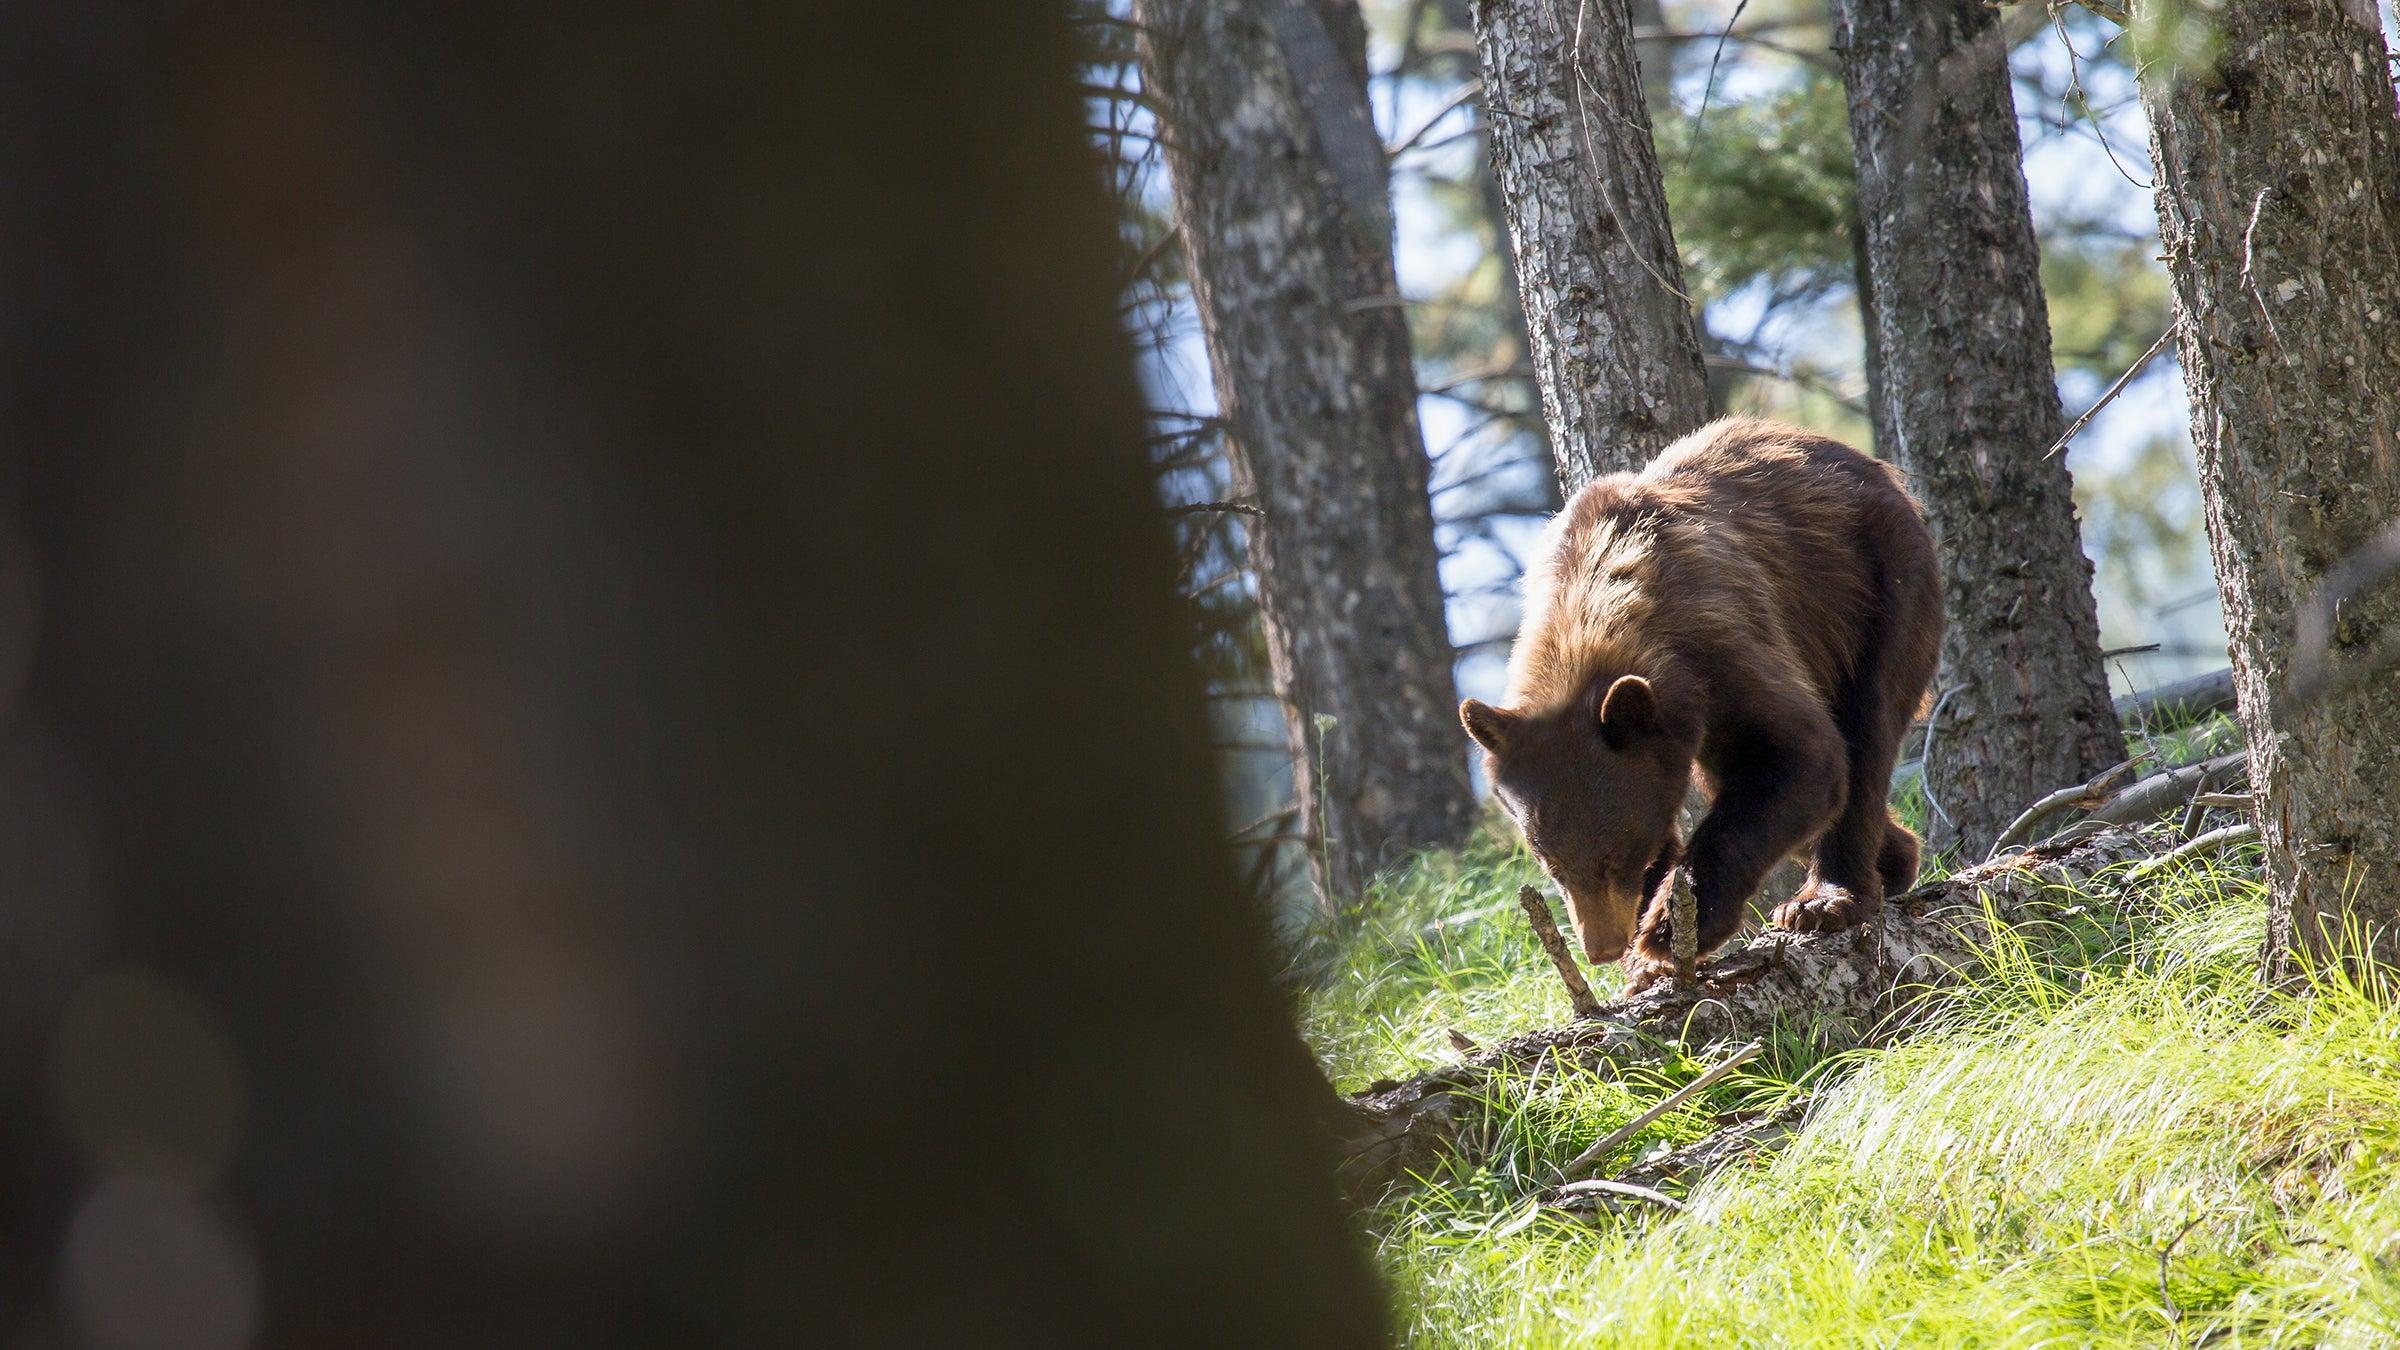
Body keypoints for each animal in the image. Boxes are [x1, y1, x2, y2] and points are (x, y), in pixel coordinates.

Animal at [1460, 417, 1942, 991]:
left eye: (1615, 855)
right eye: (1550, 864)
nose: (1602, 948)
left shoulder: (1719, 643)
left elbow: (1802, 755)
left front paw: (1667, 931)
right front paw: (1645, 962)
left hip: (1876, 586)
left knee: (1865, 733)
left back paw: (1825, 899)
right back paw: (1894, 857)